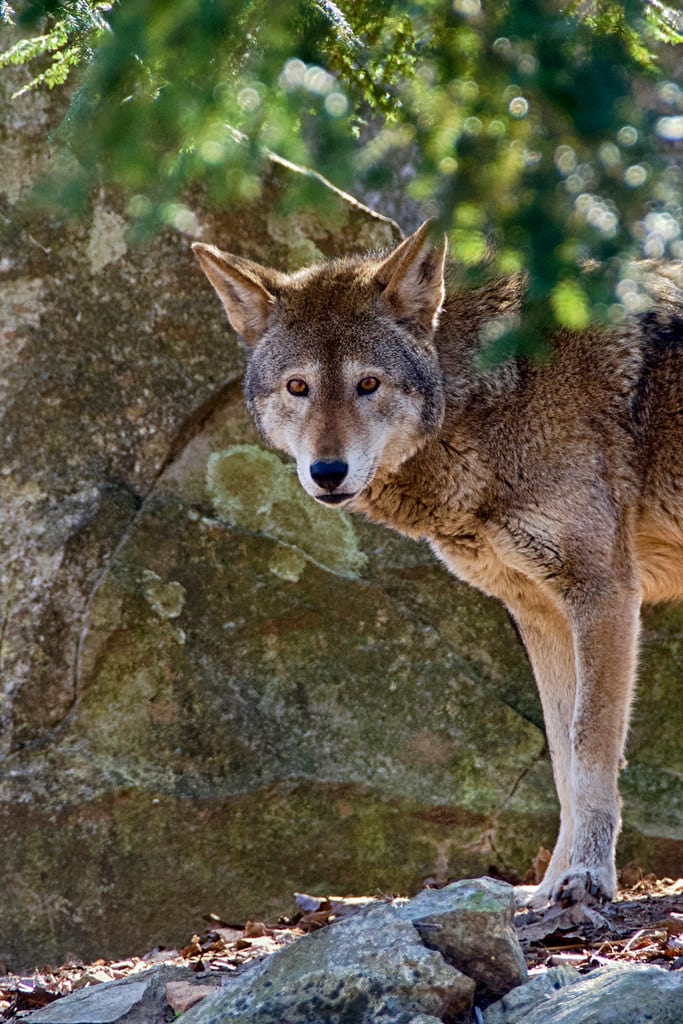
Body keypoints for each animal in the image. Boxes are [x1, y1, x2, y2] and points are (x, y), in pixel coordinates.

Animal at [193, 221, 683, 907]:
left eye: (369, 384)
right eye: (298, 388)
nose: (327, 472)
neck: (495, 392)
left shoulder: (603, 595)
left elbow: (589, 747)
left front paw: (587, 879)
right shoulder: (540, 611)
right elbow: (561, 759)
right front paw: (545, 889)